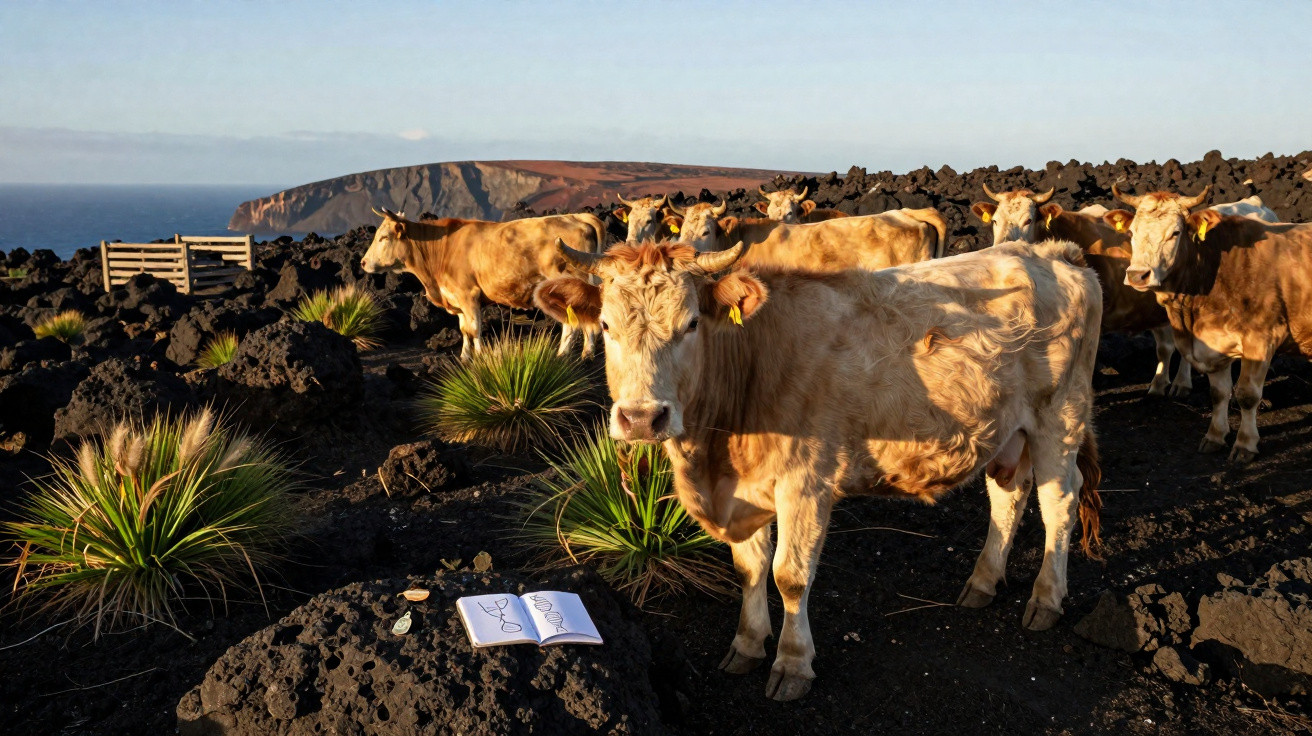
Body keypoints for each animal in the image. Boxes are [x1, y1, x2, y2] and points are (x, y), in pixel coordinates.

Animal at [360, 208, 604, 360]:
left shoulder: (468, 294)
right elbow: (463, 329)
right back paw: (587, 353)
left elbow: (474, 328)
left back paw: (564, 354)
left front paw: (479, 356)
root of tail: (577, 216)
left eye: (384, 237)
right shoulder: (456, 297)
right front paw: (465, 355)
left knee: (572, 322)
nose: (362, 262)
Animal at [533, 238, 1103, 701]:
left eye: (691, 323)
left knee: (1059, 501)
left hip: (1060, 417)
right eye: (606, 326)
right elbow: (749, 568)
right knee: (1009, 494)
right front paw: (747, 643)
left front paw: (792, 664)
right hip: (1006, 430)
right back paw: (983, 581)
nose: (642, 417)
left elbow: (790, 575)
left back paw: (1046, 599)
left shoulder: (806, 482)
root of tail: (1053, 253)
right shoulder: (745, 491)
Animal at [1105, 185, 1312, 461]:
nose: (1138, 275)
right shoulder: (1214, 343)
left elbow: (1247, 394)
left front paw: (1245, 444)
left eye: (1175, 233)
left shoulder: (1261, 338)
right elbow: (1219, 393)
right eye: (1131, 232)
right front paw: (1215, 436)